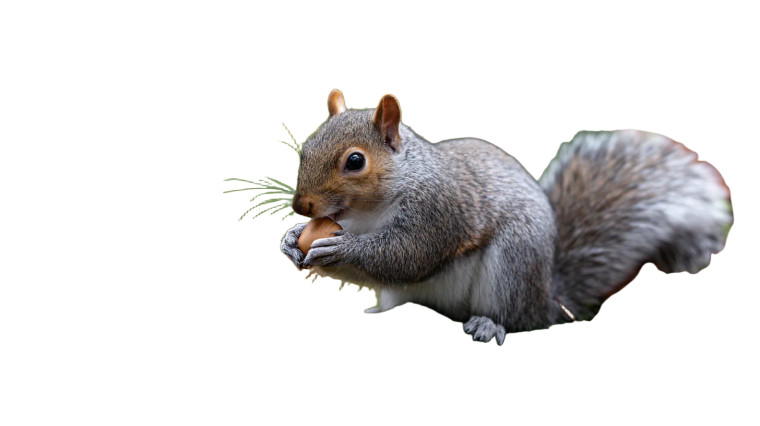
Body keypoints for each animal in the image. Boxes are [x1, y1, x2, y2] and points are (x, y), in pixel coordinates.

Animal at [279, 89, 733, 345]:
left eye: (355, 161)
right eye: (305, 147)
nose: (301, 206)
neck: (368, 212)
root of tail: (547, 300)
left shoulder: (438, 209)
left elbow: (407, 255)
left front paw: (338, 250)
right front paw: (291, 239)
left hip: (512, 266)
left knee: (515, 320)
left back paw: (488, 325)